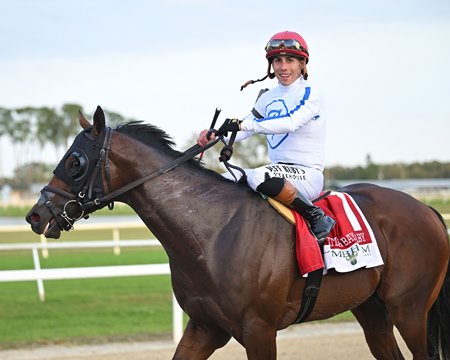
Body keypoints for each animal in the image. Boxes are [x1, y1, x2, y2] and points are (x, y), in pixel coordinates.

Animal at [26, 105, 448, 358]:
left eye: (75, 161)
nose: (35, 215)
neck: (211, 232)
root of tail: (426, 208)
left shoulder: (259, 330)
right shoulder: (205, 327)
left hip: (409, 309)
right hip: (371, 309)